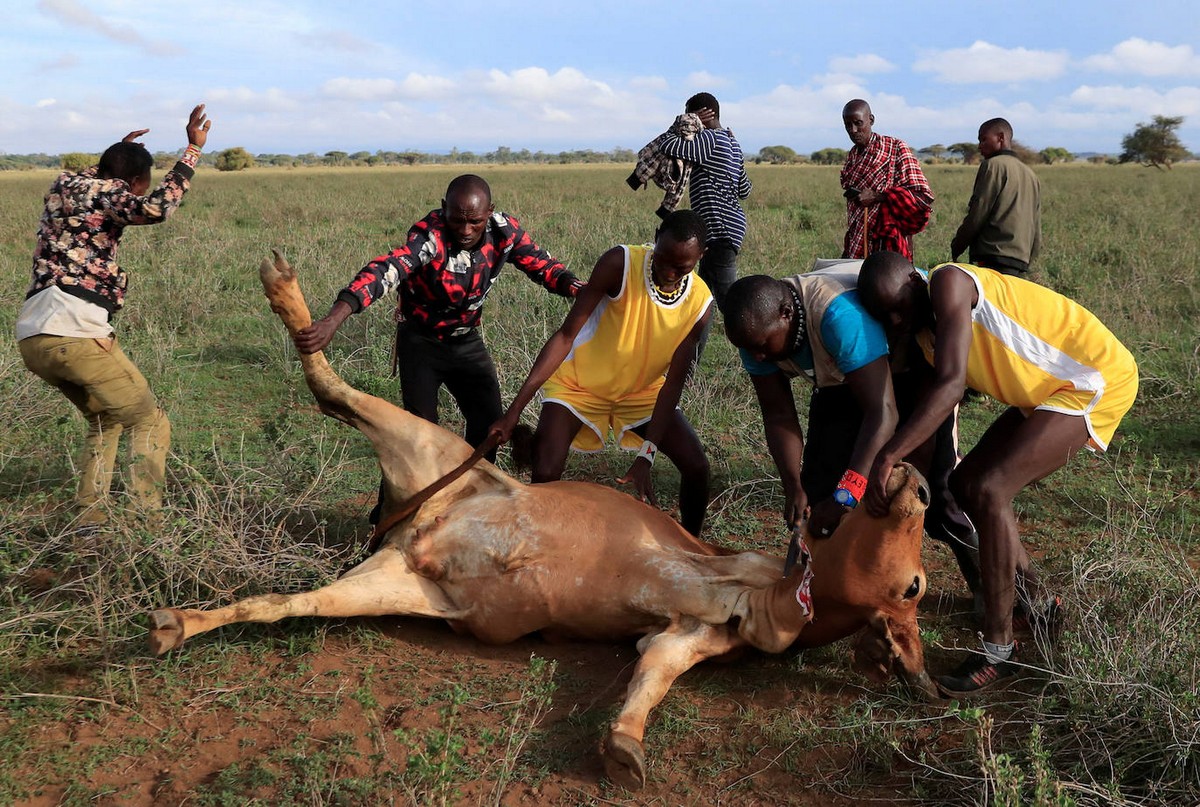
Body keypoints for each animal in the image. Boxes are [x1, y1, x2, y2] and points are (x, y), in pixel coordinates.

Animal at [147, 252, 936, 787]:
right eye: (918, 587)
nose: (919, 481)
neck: (766, 595)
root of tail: (415, 531)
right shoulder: (720, 562)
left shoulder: (693, 635)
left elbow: (651, 677)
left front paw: (623, 747)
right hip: (440, 451)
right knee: (331, 388)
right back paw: (288, 297)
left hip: (395, 581)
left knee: (287, 602)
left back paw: (177, 624)